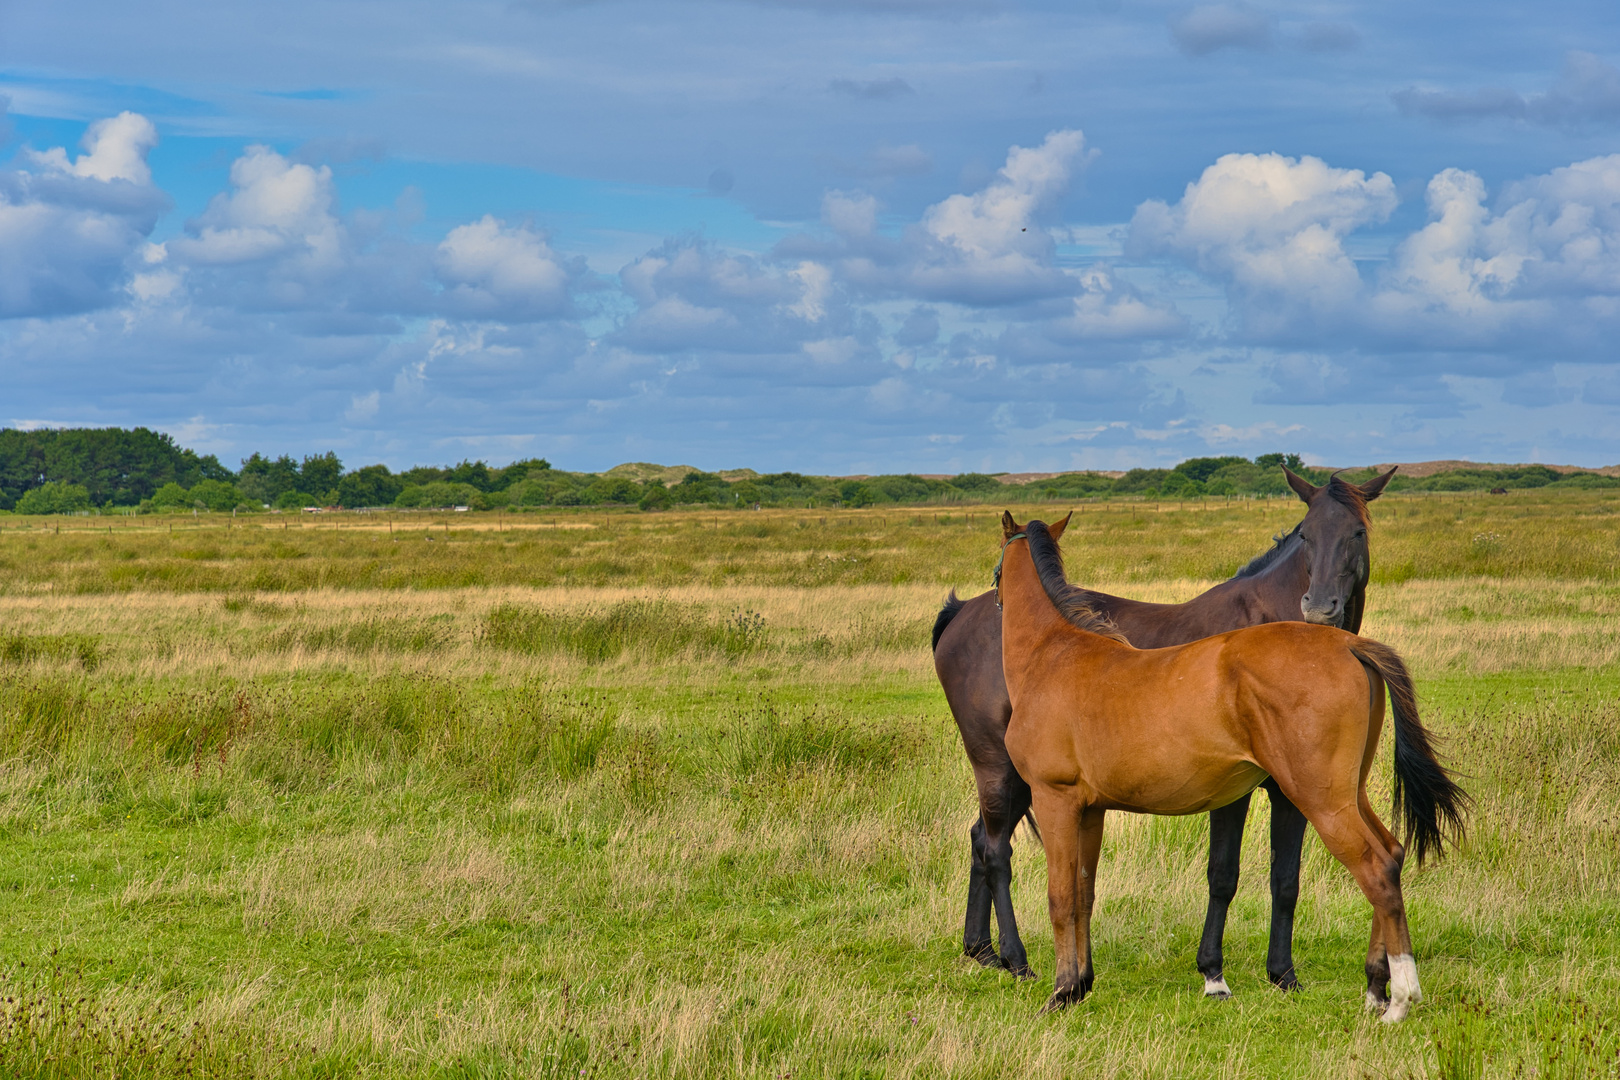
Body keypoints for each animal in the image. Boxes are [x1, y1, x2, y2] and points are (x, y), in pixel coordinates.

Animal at [933, 469, 1399, 990]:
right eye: (1307, 536)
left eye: (1357, 533)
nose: (1320, 609)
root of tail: (960, 614)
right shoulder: (1249, 792)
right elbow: (1228, 875)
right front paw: (1222, 970)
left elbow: (1282, 880)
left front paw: (1276, 973)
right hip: (999, 770)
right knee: (994, 850)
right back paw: (1010, 956)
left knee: (983, 841)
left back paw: (985, 951)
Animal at [991, 514, 1464, 1023]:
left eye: (996, 572)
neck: (1053, 655)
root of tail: (1347, 643)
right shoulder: (1090, 810)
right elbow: (1083, 895)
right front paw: (1080, 985)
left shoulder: (1055, 799)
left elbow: (1060, 898)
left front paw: (1061, 992)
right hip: (1349, 795)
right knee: (1392, 854)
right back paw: (1376, 987)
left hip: (1321, 801)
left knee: (1377, 871)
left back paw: (1399, 999)